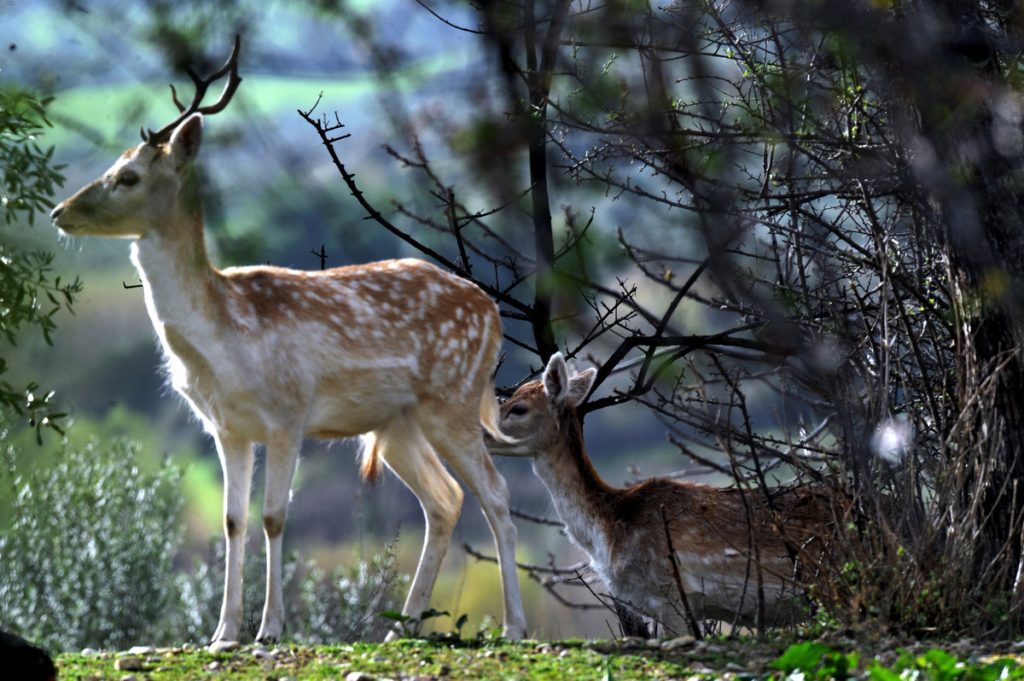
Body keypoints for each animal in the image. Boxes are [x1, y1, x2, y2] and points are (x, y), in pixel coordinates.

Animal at [46, 38, 528, 647]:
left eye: (128, 176)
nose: (60, 211)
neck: (223, 338)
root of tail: (490, 311)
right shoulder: (225, 427)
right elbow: (233, 521)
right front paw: (222, 632)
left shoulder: (288, 412)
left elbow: (275, 517)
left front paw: (270, 628)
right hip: (398, 423)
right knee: (446, 500)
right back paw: (400, 629)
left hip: (453, 398)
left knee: (496, 494)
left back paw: (514, 626)